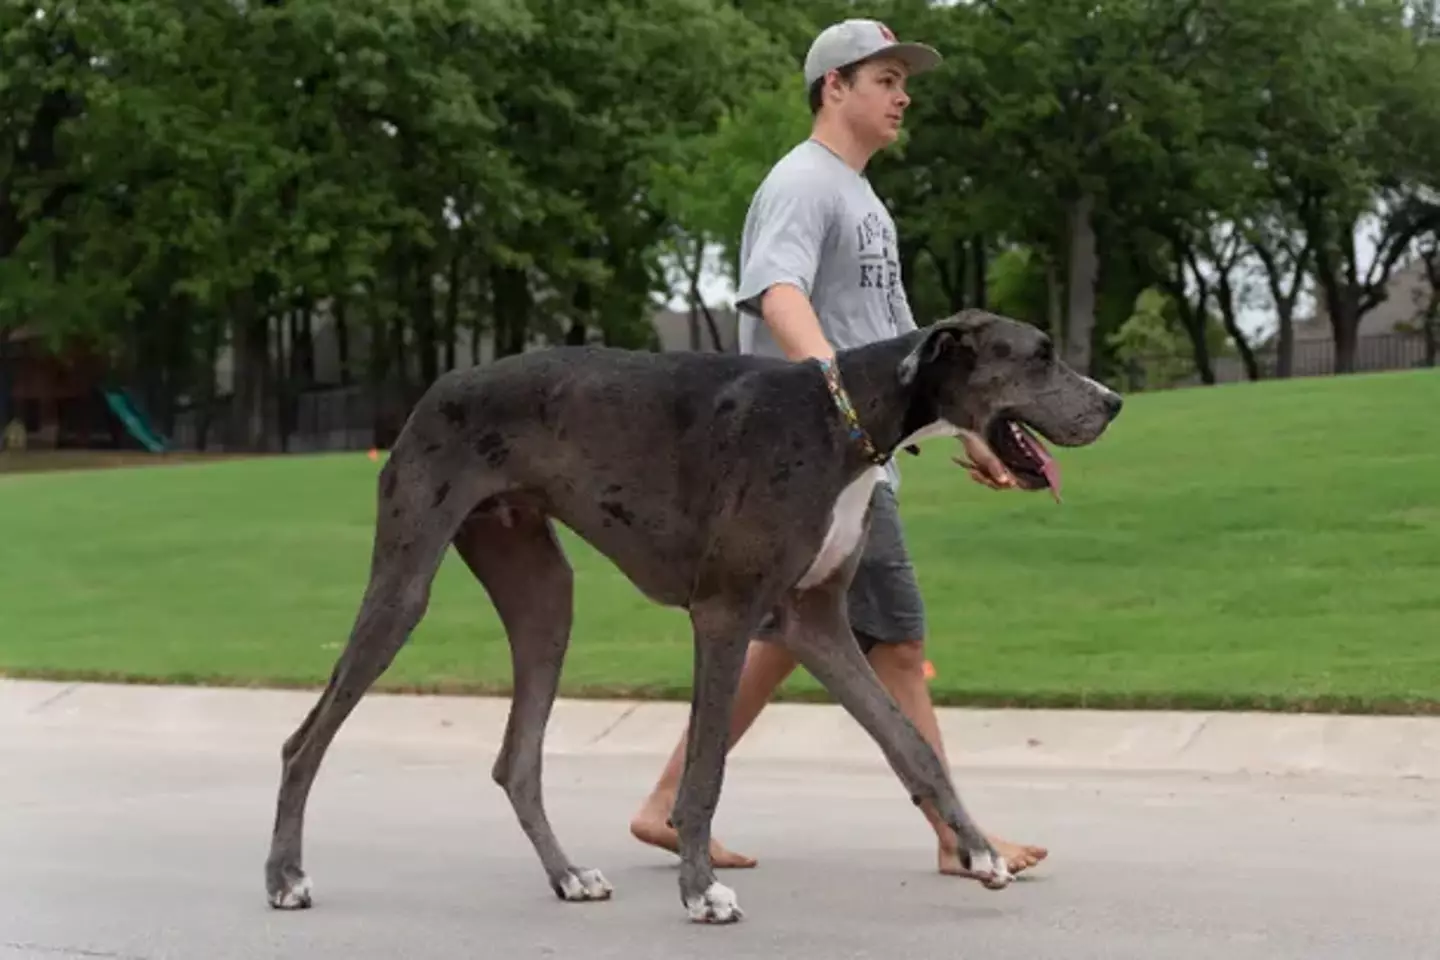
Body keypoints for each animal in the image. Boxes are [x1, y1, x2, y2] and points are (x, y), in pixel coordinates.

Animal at [267, 308, 1123, 921]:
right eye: (1040, 354)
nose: (1114, 403)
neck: (844, 421)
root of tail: (435, 391)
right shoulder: (725, 615)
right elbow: (706, 767)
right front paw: (700, 890)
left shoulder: (816, 625)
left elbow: (911, 744)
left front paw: (979, 854)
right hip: (403, 585)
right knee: (306, 738)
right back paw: (285, 877)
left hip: (544, 597)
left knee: (517, 759)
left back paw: (568, 876)